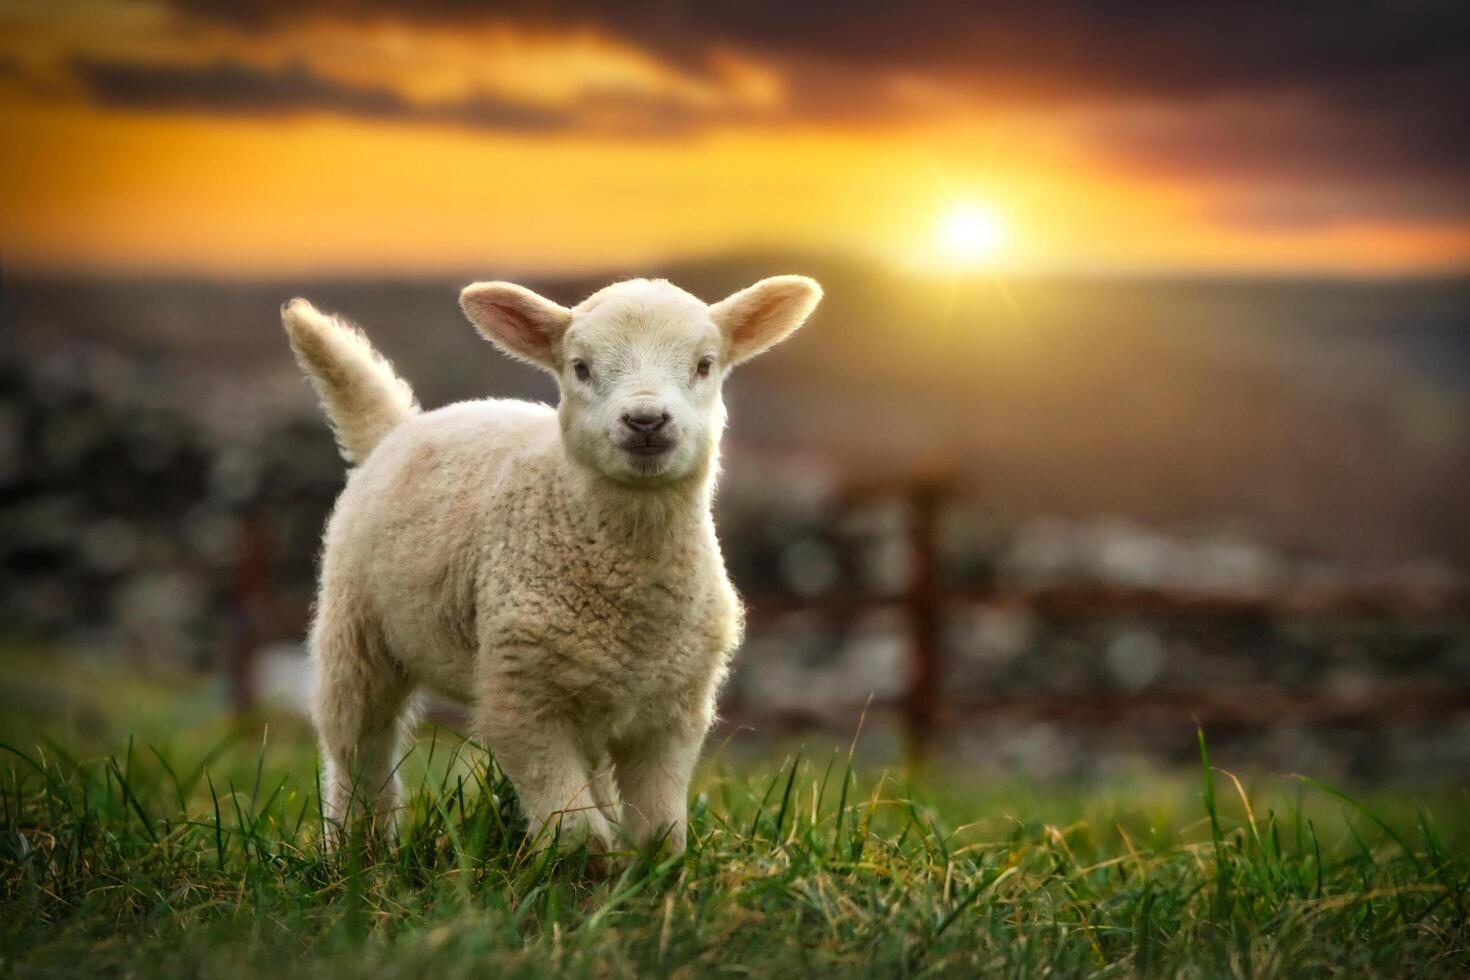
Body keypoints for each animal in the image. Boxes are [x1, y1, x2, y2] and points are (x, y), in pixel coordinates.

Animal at [280, 276, 823, 858]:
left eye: (704, 364)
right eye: (581, 367)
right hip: (355, 628)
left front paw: (647, 868)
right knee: (357, 745)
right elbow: (574, 832)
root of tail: (398, 429)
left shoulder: (675, 709)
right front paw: (584, 868)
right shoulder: (521, 696)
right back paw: (356, 851)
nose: (646, 420)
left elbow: (658, 829)